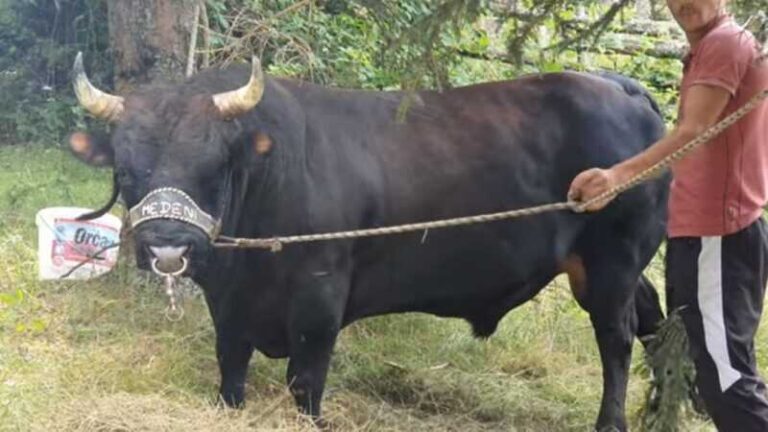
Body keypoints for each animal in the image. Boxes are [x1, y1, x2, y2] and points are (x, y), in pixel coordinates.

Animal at [72, 62, 672, 430]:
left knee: (616, 338)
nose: (168, 249)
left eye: (214, 164)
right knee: (653, 318)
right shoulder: (231, 305)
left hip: (613, 260)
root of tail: (618, 85)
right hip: (608, 266)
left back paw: (612, 421)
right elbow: (230, 365)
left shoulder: (319, 297)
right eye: (125, 169)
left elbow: (305, 381)